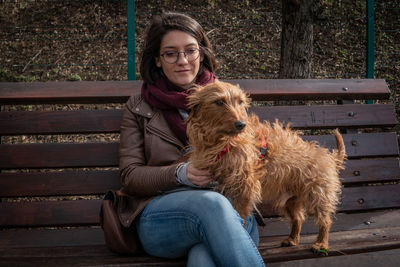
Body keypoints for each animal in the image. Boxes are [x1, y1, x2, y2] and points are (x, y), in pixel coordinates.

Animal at [186, 80, 346, 254]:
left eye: (240, 102)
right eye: (219, 102)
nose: (241, 124)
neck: (222, 143)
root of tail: (329, 157)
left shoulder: (245, 185)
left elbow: (240, 212)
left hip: (317, 194)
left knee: (325, 220)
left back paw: (321, 243)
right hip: (290, 201)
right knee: (298, 218)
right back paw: (292, 239)